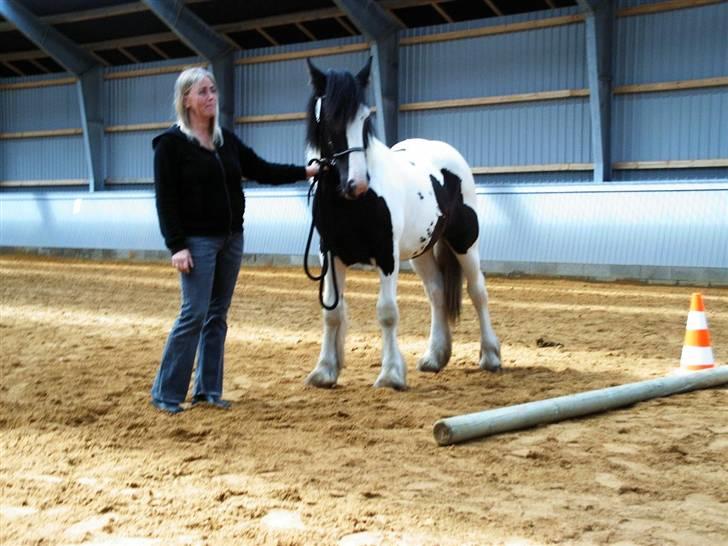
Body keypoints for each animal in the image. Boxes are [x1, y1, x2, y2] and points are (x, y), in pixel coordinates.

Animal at [302, 57, 500, 388]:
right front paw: (324, 371)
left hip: (465, 242)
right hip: (421, 252)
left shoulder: (386, 255)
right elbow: (332, 312)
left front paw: (391, 374)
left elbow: (387, 312)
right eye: (329, 118)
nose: (357, 183)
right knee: (436, 293)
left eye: (364, 119)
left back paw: (491, 356)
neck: (351, 203)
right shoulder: (329, 255)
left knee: (477, 291)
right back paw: (435, 357)